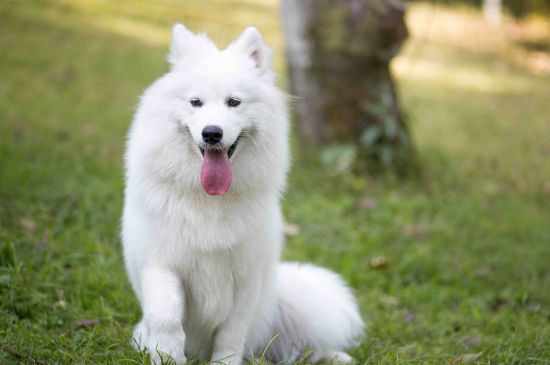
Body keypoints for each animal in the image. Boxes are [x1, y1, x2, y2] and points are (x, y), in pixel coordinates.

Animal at [122, 24, 364, 362]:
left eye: (233, 102)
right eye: (195, 102)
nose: (212, 133)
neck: (209, 200)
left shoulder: (245, 281)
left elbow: (230, 336)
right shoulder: (160, 263)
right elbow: (166, 317)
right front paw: (167, 356)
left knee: (295, 351)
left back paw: (335, 357)